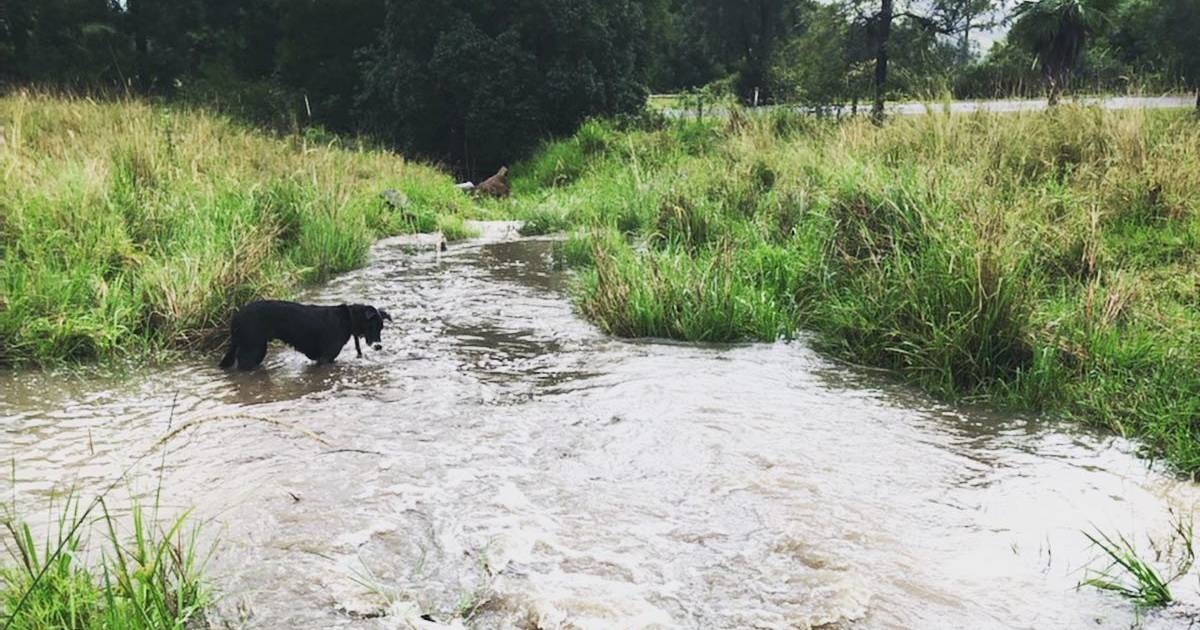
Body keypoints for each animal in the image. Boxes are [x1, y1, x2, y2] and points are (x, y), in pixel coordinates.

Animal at [216, 300, 393, 369]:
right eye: (372, 326)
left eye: (382, 328)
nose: (379, 346)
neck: (348, 318)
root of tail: (236, 318)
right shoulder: (326, 357)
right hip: (253, 349)